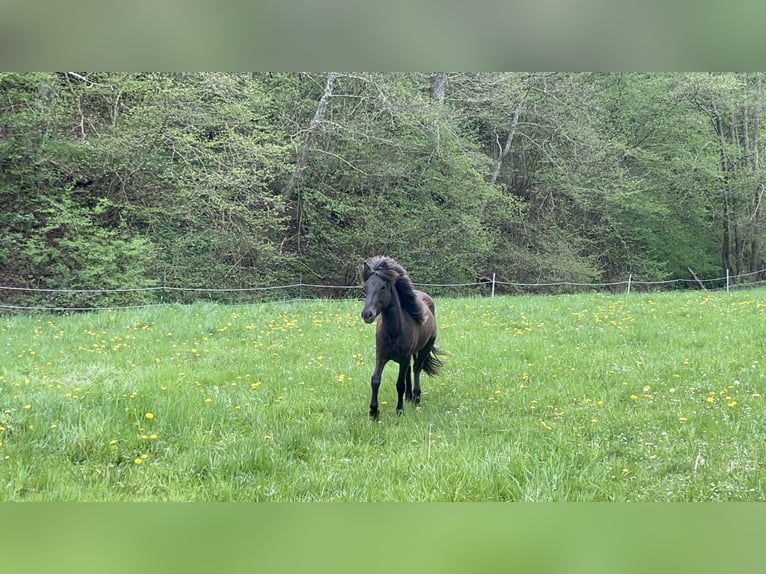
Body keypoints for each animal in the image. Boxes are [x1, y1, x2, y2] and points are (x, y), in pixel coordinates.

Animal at [360, 256, 445, 417]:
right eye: (366, 288)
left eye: (383, 287)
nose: (367, 314)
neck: (394, 331)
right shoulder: (381, 356)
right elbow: (375, 380)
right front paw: (374, 412)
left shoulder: (404, 358)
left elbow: (399, 384)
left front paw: (399, 411)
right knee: (410, 370)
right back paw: (409, 396)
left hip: (424, 349)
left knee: (416, 368)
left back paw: (416, 396)